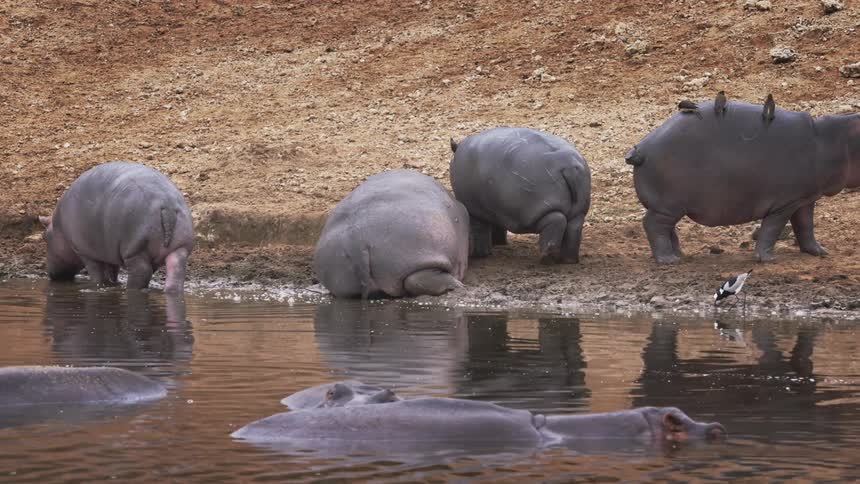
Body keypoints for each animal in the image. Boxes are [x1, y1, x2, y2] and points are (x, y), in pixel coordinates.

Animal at [39, 161, 194, 292]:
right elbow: (112, 270)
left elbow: (97, 274)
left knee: (142, 271)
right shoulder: (110, 251)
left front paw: (99, 284)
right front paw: (114, 283)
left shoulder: (84, 252)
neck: (58, 227)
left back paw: (130, 289)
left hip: (135, 249)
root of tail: (166, 205)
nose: (51, 274)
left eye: (44, 237)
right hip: (180, 248)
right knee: (175, 273)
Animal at [449, 127, 591, 264]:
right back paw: (569, 260)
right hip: (578, 211)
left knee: (556, 221)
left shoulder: (474, 209)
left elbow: (479, 232)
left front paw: (480, 254)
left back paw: (547, 259)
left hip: (536, 211)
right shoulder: (496, 208)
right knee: (574, 228)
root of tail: (569, 166)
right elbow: (497, 227)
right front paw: (498, 243)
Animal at [627, 101, 860, 263]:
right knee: (653, 225)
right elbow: (772, 229)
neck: (831, 139)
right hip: (668, 205)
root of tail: (641, 148)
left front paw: (820, 252)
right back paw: (668, 261)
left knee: (668, 229)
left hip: (669, 206)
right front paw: (767, 260)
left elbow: (805, 226)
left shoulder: (804, 199)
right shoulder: (784, 203)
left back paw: (680, 255)